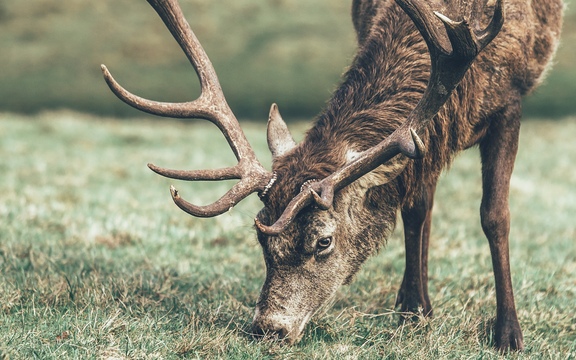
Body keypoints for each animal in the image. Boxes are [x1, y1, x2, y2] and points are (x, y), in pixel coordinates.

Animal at [100, 0, 564, 352]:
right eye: (261, 237)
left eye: (323, 240)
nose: (269, 328)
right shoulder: (424, 140)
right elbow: (415, 206)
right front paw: (414, 311)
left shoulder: (509, 103)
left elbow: (494, 216)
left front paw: (508, 334)